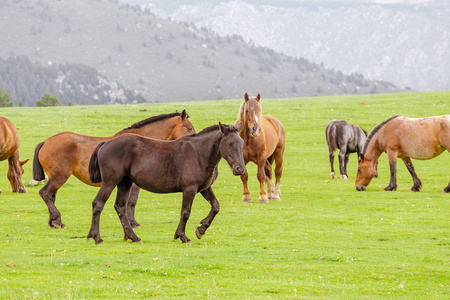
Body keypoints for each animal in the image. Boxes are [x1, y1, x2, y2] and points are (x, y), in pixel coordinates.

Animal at [31, 111, 193, 229]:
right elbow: (131, 202)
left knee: (51, 196)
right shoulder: (134, 185)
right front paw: (133, 223)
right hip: (59, 177)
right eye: (189, 128)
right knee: (45, 193)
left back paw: (53, 221)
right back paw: (57, 220)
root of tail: (46, 141)